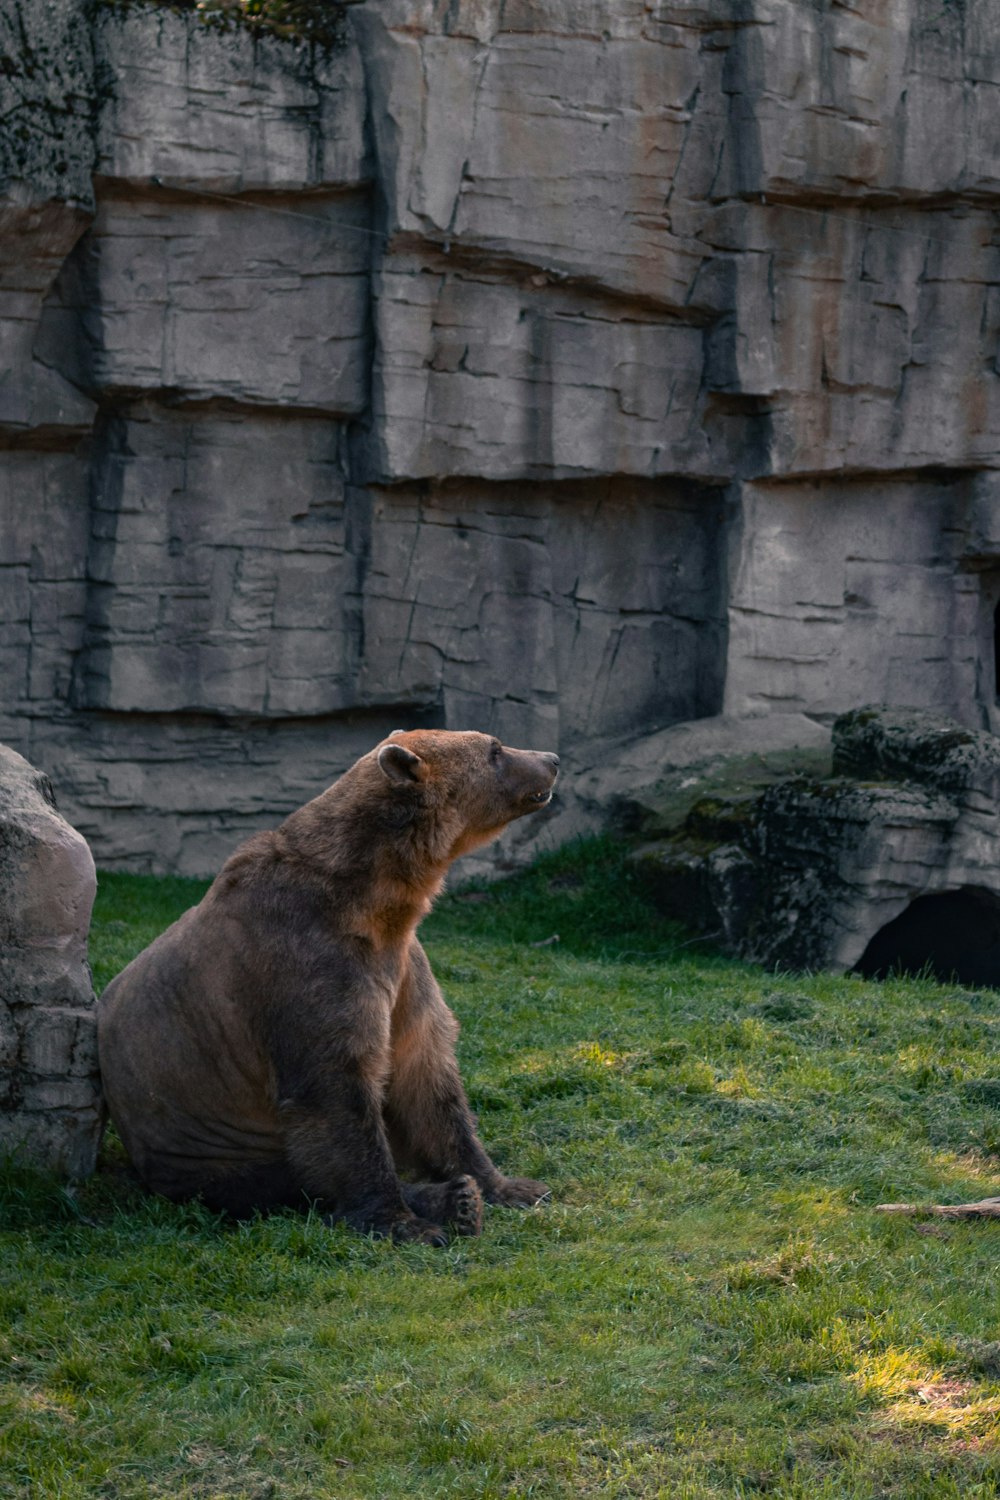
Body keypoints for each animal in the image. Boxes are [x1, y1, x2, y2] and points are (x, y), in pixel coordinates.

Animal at [97, 735, 560, 1242]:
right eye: (495, 750)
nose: (552, 760)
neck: (375, 904)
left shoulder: (403, 969)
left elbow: (429, 1076)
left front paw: (511, 1186)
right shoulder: (308, 965)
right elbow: (337, 1088)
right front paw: (403, 1221)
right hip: (204, 1145)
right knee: (286, 1182)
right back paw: (448, 1201)